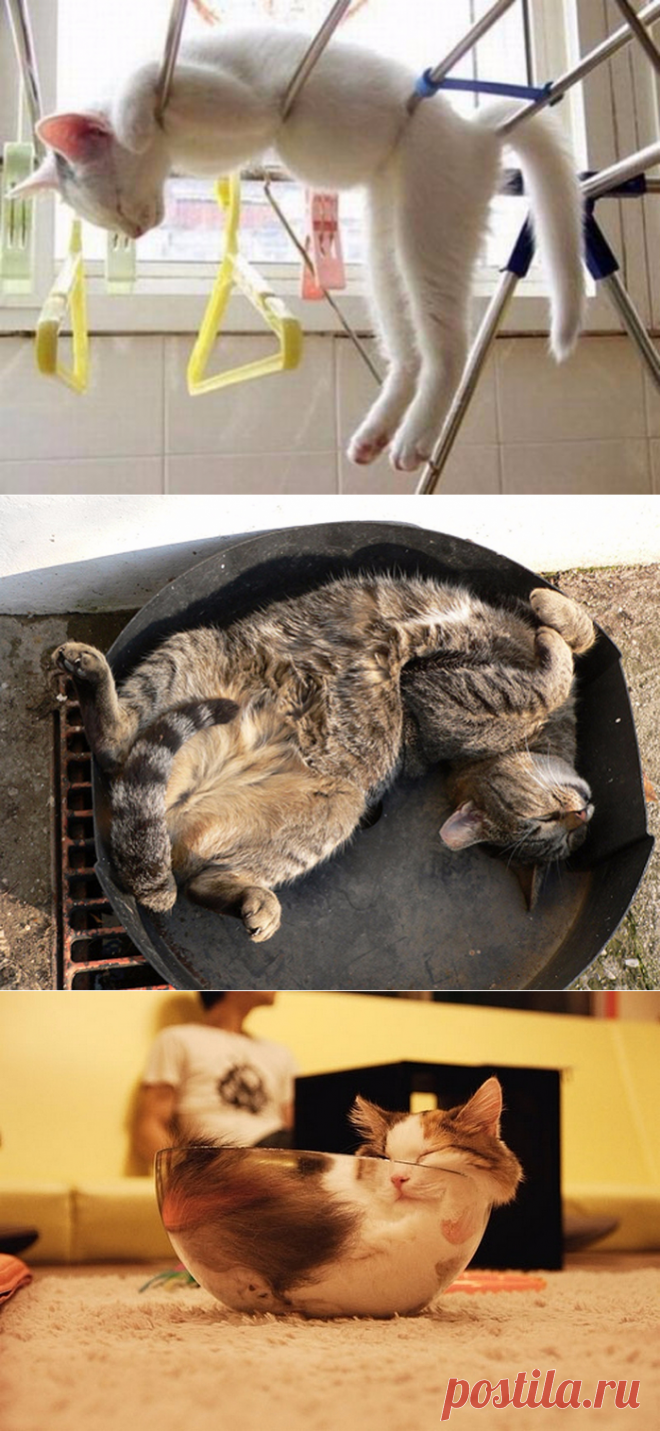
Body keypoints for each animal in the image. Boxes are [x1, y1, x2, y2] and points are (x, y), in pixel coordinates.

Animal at [16, 25, 584, 471]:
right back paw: (377, 433)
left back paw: (415, 436)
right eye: (107, 220)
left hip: (428, 218)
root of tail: (476, 130)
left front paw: (132, 123)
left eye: (113, 203)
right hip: (384, 244)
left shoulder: (244, 100)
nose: (135, 232)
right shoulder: (237, 130)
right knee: (409, 354)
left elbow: (145, 70)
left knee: (450, 346)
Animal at [52, 575, 596, 943]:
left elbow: (556, 672)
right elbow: (568, 654)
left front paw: (551, 631)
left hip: (336, 811)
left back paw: (253, 903)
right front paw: (551, 617)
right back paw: (88, 669)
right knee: (113, 747)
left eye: (566, 835)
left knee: (197, 882)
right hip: (194, 646)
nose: (583, 812)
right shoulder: (433, 688)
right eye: (542, 821)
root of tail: (176, 802)